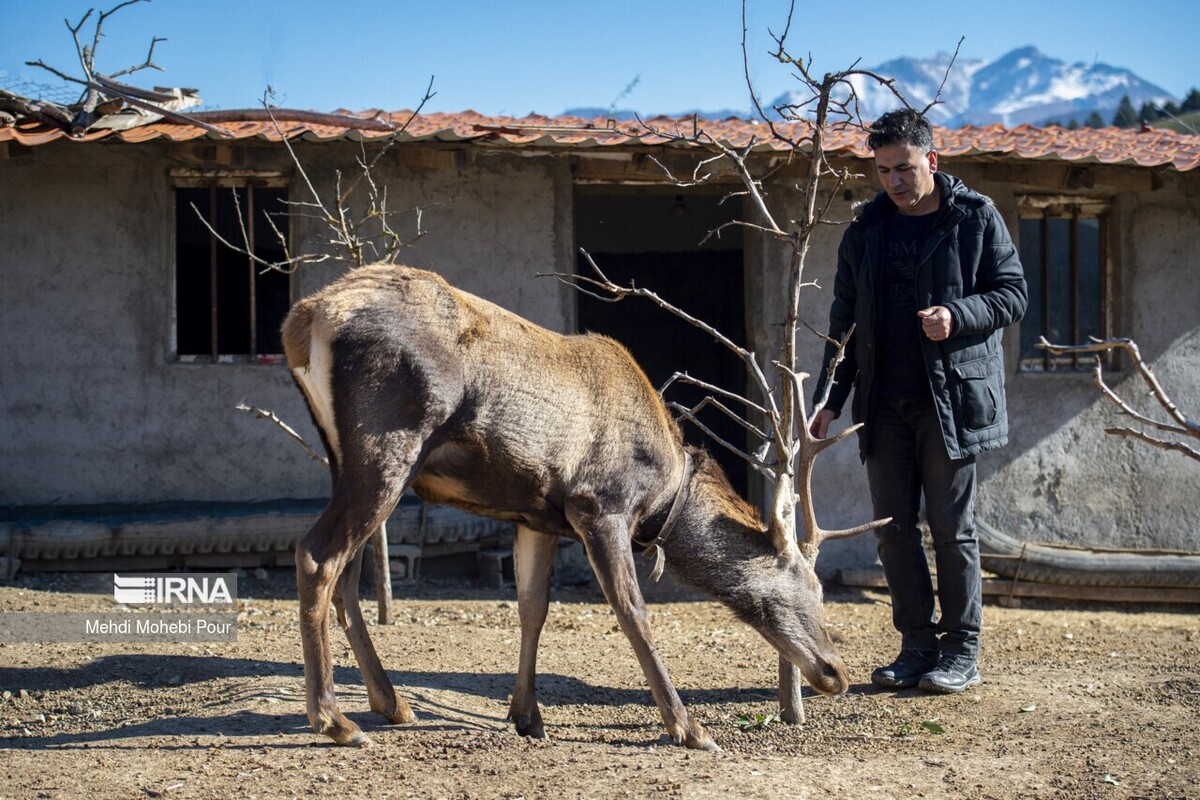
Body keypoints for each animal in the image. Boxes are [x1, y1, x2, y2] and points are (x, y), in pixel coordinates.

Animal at [283, 262, 873, 753]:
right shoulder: (600, 505)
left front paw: (527, 715)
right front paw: (688, 728)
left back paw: (391, 703)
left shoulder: (537, 516)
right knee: (317, 555)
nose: (836, 672)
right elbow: (632, 610)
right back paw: (334, 720)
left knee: (348, 576)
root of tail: (303, 322)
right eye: (811, 584)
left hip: (344, 457)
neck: (662, 498)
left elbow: (532, 608)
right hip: (389, 441)